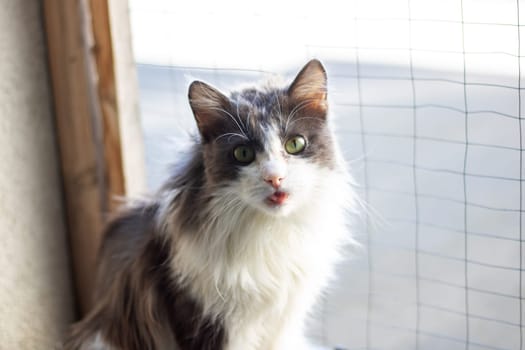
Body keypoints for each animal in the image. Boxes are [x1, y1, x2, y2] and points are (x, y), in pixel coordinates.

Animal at [63, 59, 354, 350]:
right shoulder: (202, 319)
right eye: (243, 153)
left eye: (295, 144)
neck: (268, 233)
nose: (274, 178)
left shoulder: (282, 323)